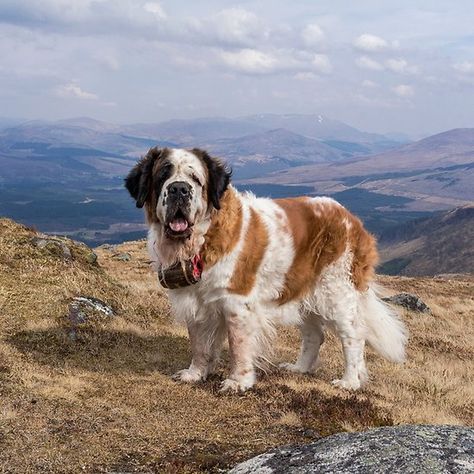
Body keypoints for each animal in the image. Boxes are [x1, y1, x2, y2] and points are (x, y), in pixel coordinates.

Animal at [127, 146, 408, 390]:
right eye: (163, 175)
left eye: (196, 179)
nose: (179, 189)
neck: (202, 239)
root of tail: (351, 218)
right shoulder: (195, 301)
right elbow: (199, 343)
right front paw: (195, 373)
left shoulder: (238, 303)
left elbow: (238, 345)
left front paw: (238, 382)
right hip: (303, 291)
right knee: (314, 335)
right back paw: (299, 368)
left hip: (335, 292)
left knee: (353, 336)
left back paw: (350, 381)